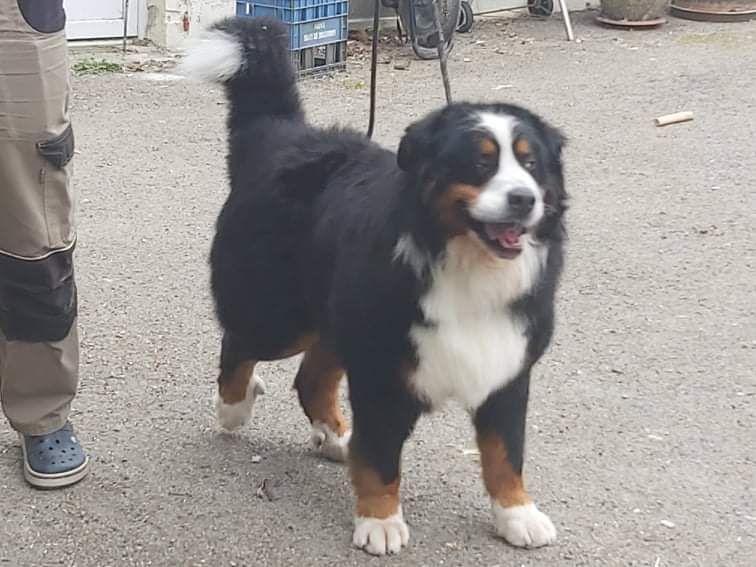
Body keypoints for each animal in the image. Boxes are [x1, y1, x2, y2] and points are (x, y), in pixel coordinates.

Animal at [181, 16, 568, 556]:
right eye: (480, 163)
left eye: (532, 165)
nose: (523, 200)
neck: (463, 264)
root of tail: (283, 136)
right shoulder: (383, 370)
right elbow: (383, 457)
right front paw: (380, 521)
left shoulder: (507, 367)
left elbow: (505, 451)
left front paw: (517, 514)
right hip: (283, 316)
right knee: (239, 344)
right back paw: (234, 409)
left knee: (311, 379)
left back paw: (336, 437)